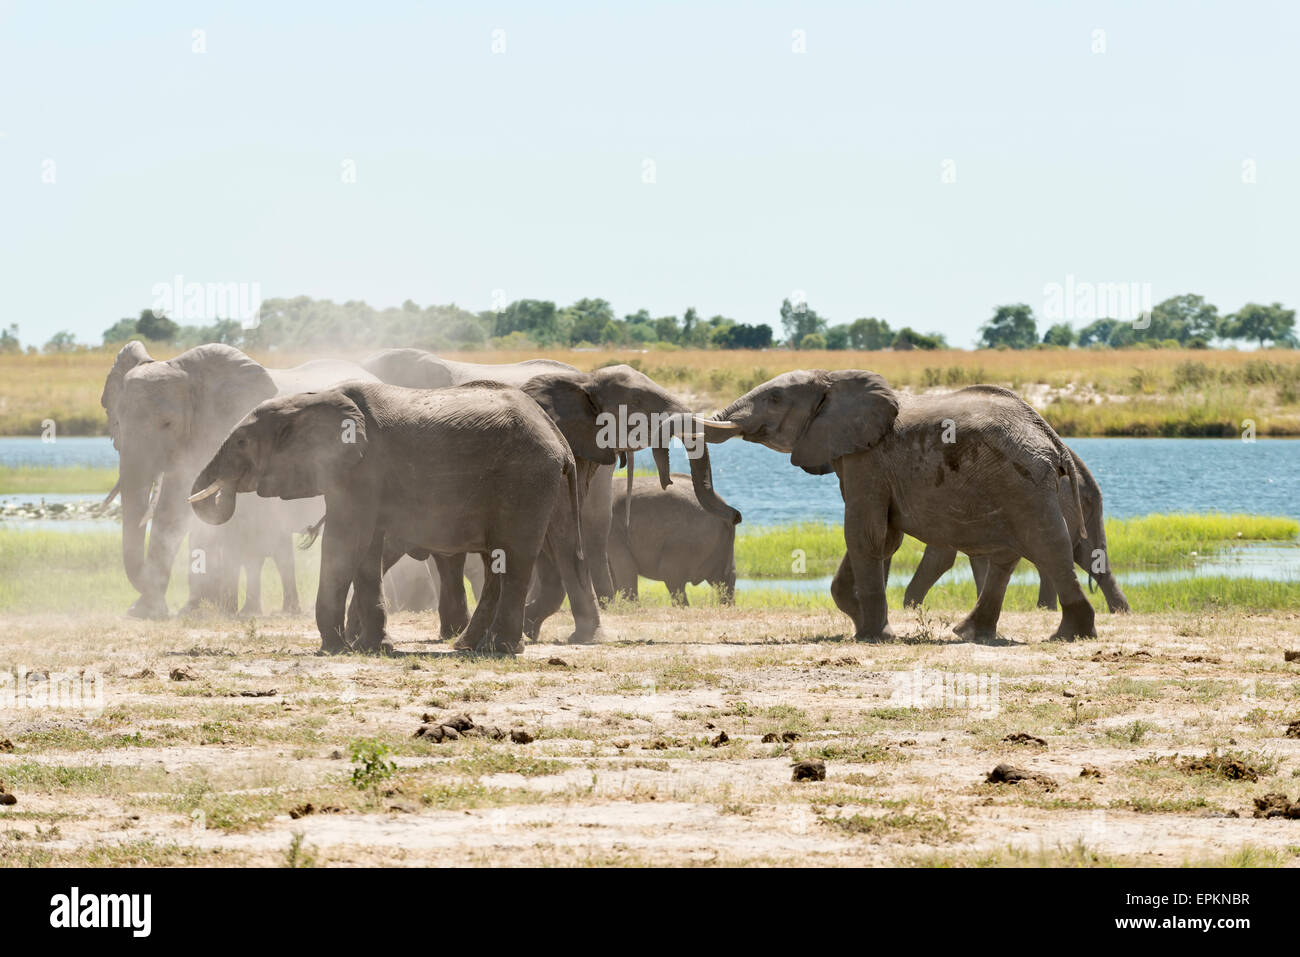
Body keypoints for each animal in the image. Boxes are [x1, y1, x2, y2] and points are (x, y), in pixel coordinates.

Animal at [189, 382, 595, 657]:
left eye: (241, 442)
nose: (223, 492)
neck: (315, 398)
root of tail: (557, 437)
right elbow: (367, 551)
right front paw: (373, 647)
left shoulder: (361, 470)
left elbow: (345, 543)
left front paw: (335, 648)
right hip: (540, 483)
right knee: (524, 555)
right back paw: (471, 645)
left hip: (525, 479)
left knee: (513, 555)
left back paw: (499, 648)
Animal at [702, 374, 1097, 642]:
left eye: (775, 397)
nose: (737, 515)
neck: (834, 379)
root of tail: (1053, 440)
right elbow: (881, 537)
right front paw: (860, 619)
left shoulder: (868, 459)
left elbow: (865, 534)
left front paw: (875, 635)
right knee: (1008, 557)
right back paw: (969, 633)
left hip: (1025, 484)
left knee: (1048, 548)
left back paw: (1069, 635)